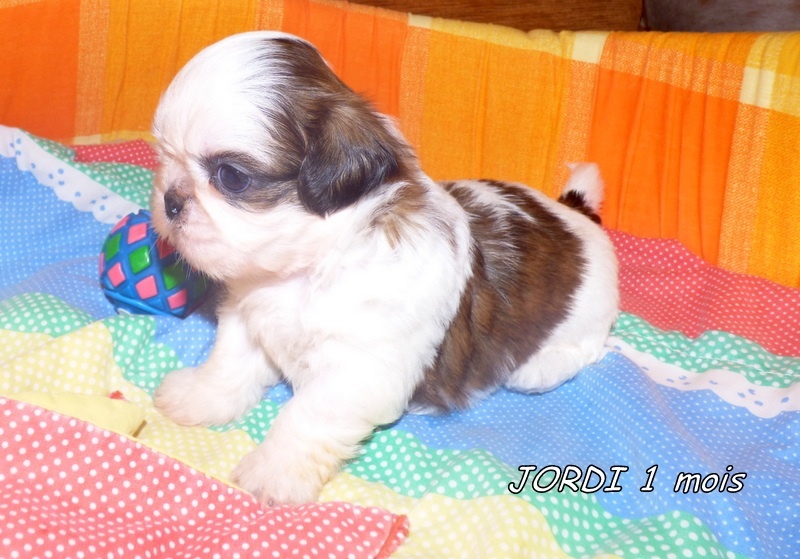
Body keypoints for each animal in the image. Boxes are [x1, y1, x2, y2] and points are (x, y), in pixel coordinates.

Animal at [150, 31, 619, 506]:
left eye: (231, 176)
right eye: (164, 155)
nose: (170, 200)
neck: (306, 267)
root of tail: (572, 213)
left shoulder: (357, 369)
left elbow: (307, 417)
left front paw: (274, 471)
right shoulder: (248, 318)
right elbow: (228, 363)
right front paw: (198, 396)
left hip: (585, 320)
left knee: (590, 350)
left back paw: (541, 365)